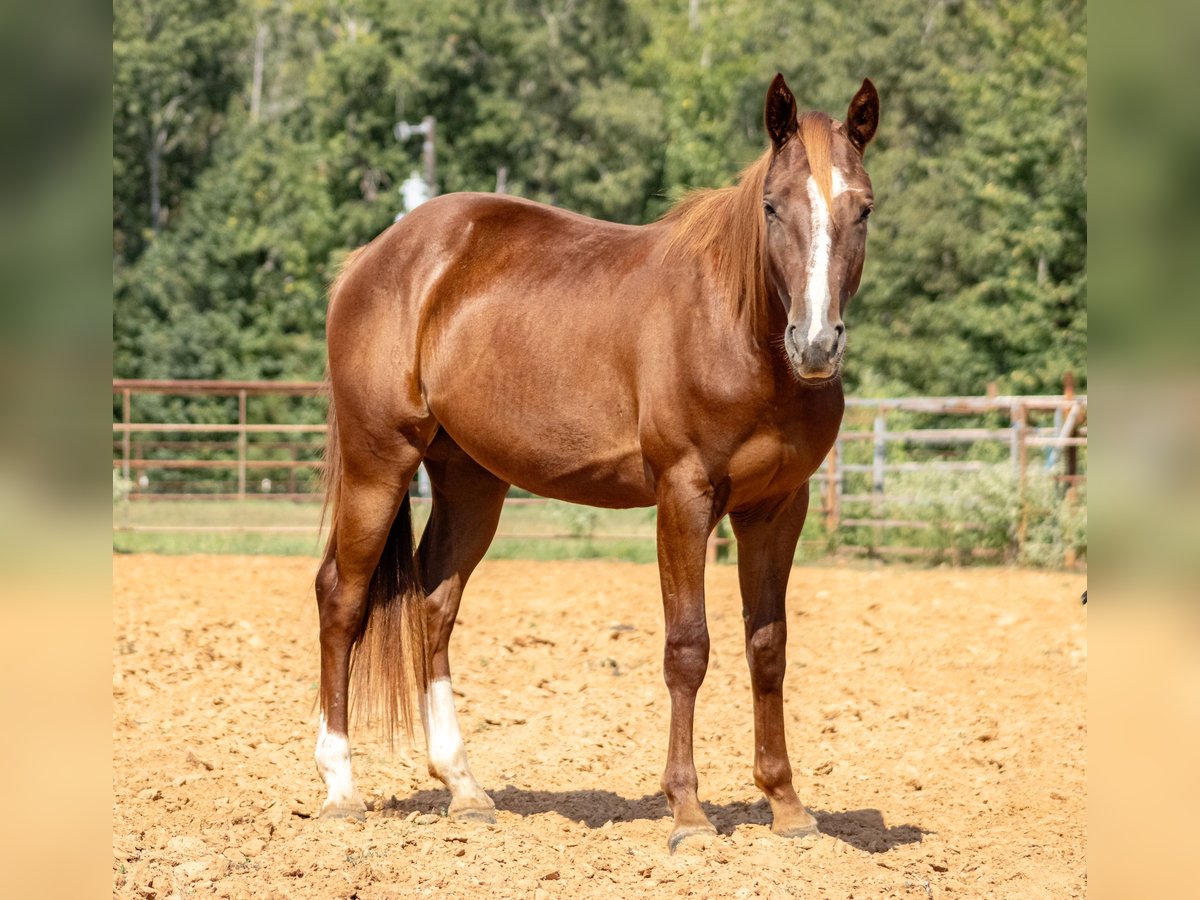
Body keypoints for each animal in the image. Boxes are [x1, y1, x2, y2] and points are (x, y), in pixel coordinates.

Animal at [316, 72, 883, 854]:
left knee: (434, 605)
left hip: (471, 481)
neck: (738, 330)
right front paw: (688, 814)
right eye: (773, 205)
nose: (817, 343)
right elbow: (688, 648)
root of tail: (374, 258)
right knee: (341, 599)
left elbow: (767, 647)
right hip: (380, 462)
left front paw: (787, 806)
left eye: (863, 209)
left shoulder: (778, 507)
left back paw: (464, 788)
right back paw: (342, 788)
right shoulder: (685, 496)